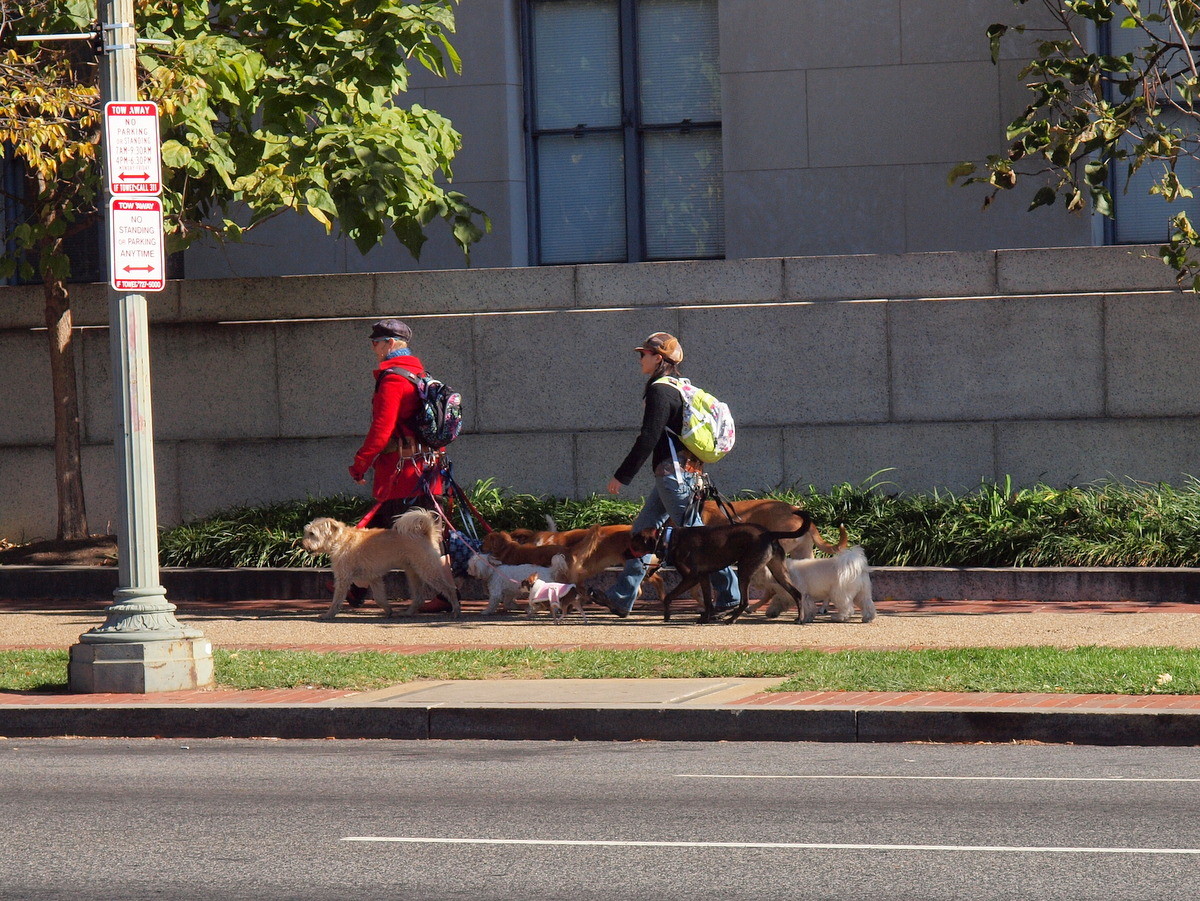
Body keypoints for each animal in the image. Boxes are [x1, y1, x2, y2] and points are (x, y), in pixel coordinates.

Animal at [302, 513, 460, 619]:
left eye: (312, 533)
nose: (301, 544)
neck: (339, 540)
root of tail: (425, 533)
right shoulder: (374, 578)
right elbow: (378, 597)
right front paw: (388, 610)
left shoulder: (343, 578)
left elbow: (336, 600)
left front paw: (328, 615)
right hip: (413, 572)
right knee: (419, 597)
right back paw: (408, 612)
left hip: (427, 570)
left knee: (449, 589)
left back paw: (456, 611)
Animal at [628, 511, 816, 623]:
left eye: (636, 539)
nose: (625, 551)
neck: (668, 538)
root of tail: (768, 533)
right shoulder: (703, 576)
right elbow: (708, 601)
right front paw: (706, 617)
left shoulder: (691, 577)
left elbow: (668, 596)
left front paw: (667, 615)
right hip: (778, 570)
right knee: (796, 593)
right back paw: (800, 618)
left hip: (745, 569)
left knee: (745, 601)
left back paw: (731, 619)